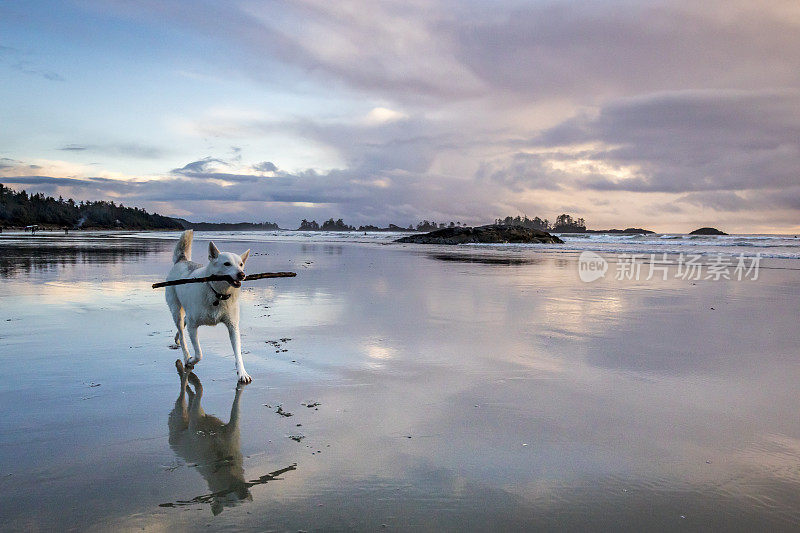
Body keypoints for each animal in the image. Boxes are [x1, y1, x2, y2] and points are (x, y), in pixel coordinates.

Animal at [162, 231, 250, 380]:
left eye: (241, 264)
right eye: (227, 264)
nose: (242, 274)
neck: (217, 294)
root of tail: (182, 260)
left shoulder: (233, 326)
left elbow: (238, 353)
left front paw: (242, 373)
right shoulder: (193, 326)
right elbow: (199, 353)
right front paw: (191, 360)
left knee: (183, 324)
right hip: (176, 310)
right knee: (182, 332)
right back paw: (185, 355)